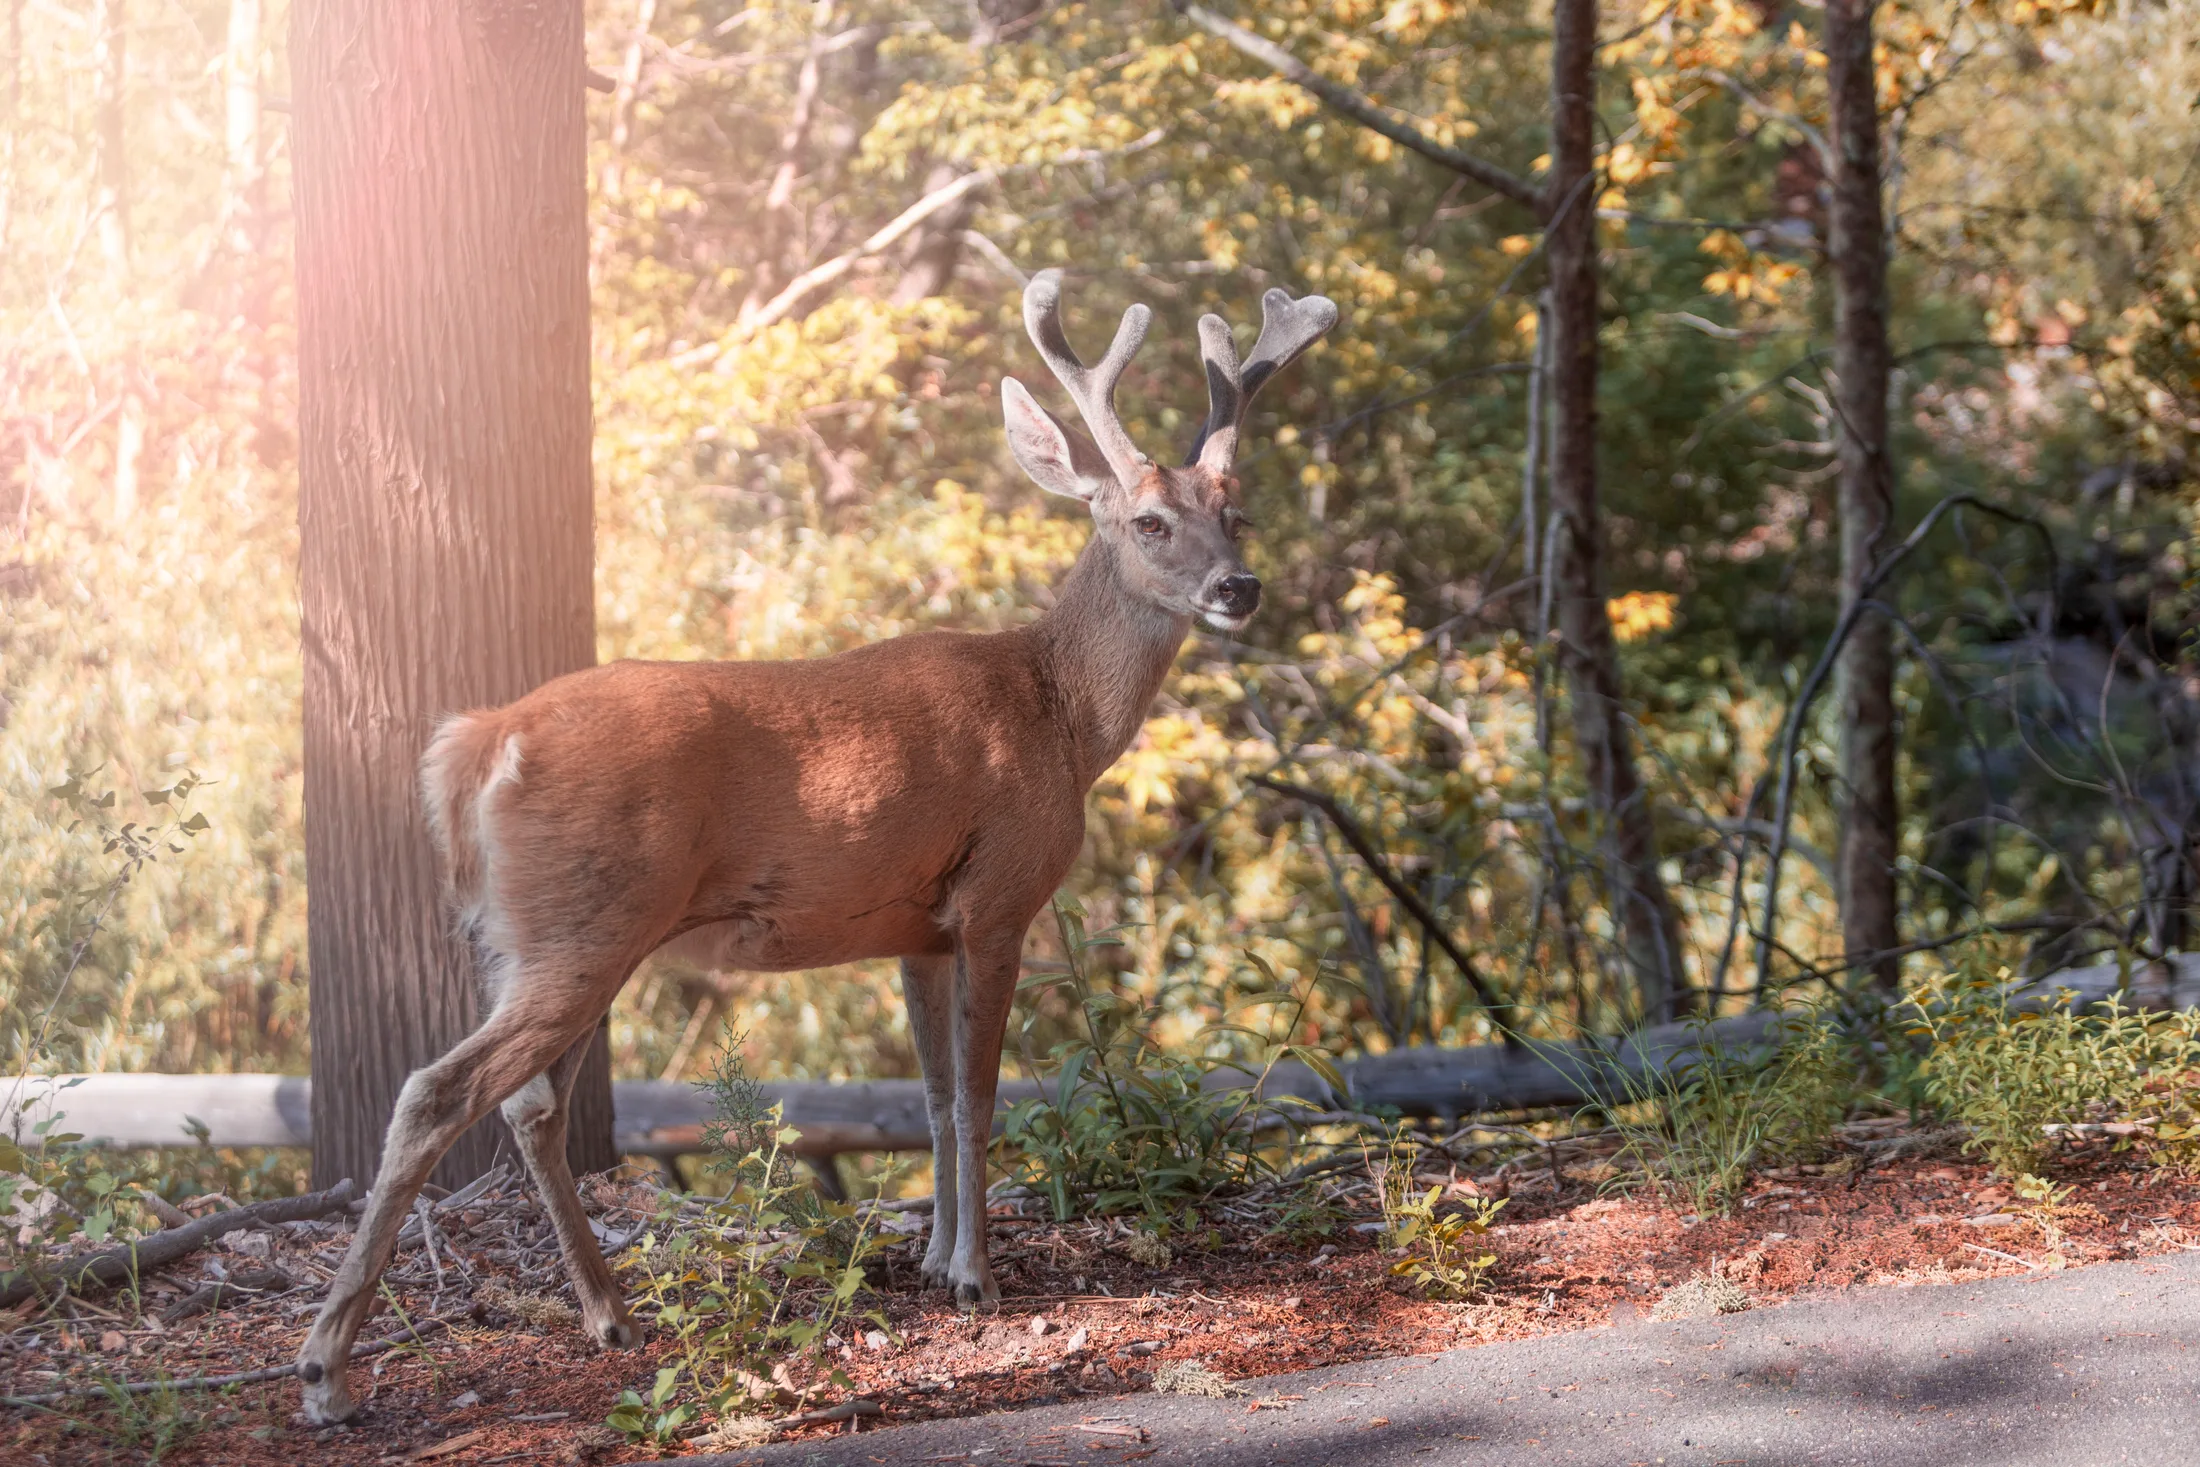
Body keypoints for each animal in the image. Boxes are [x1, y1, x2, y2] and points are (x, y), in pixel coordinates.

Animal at [294, 268, 1336, 1425]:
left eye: (1235, 512)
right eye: (1150, 520)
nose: (1238, 587)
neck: (1061, 716)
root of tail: (479, 744)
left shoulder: (919, 925)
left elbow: (930, 1097)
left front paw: (932, 1259)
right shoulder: (1000, 893)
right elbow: (980, 1095)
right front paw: (977, 1278)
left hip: (537, 936)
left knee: (529, 1105)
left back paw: (611, 1316)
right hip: (582, 925)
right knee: (440, 1090)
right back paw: (329, 1371)